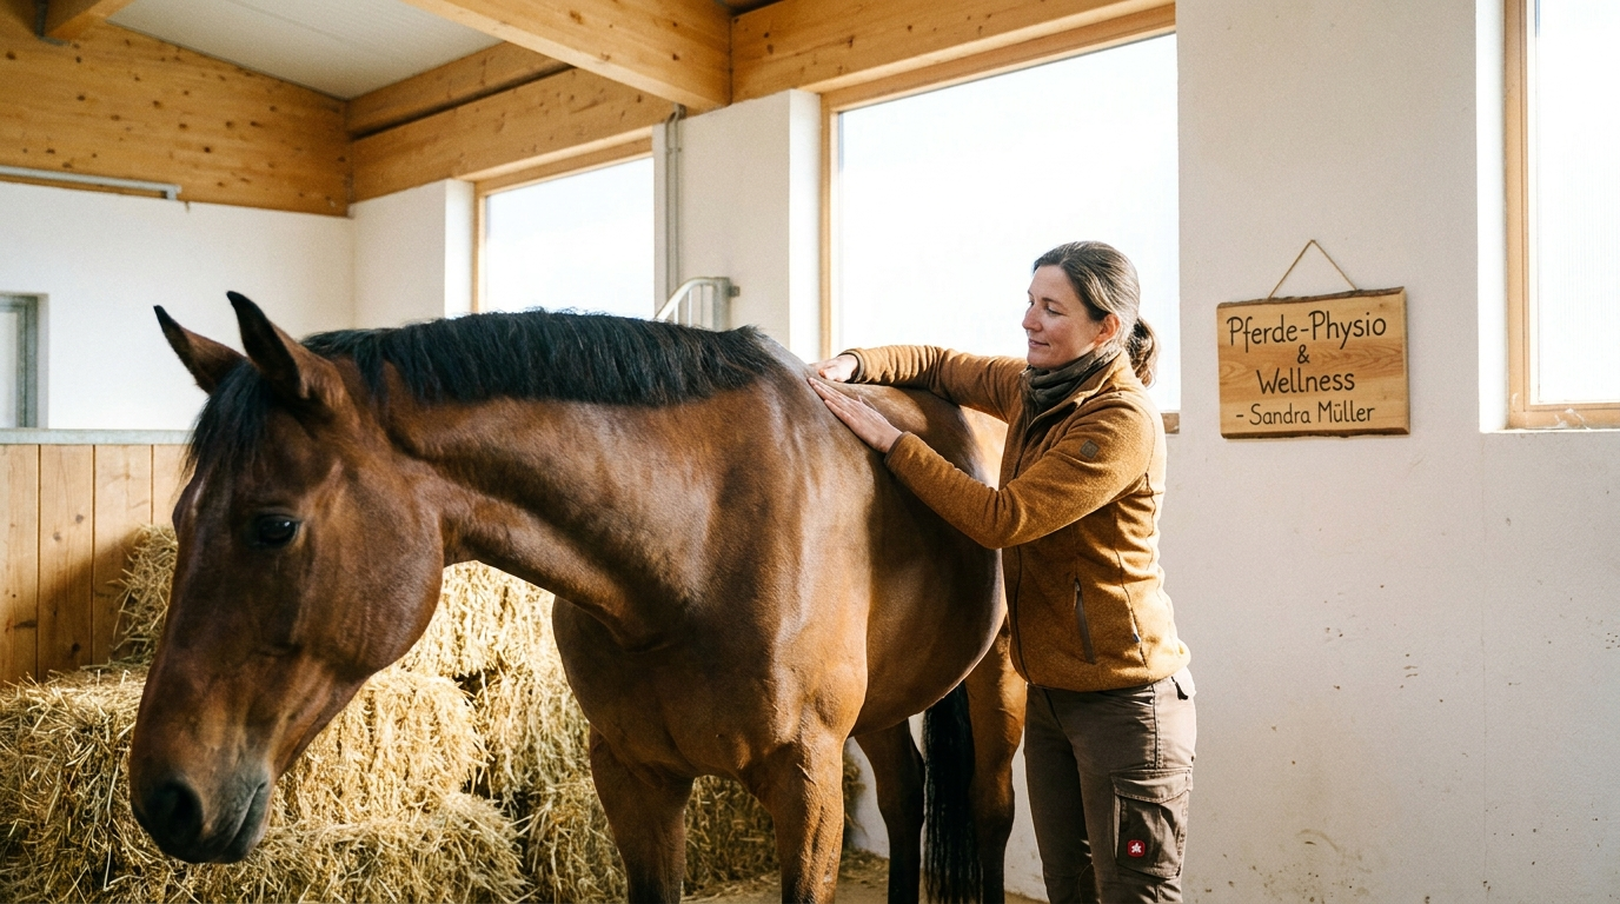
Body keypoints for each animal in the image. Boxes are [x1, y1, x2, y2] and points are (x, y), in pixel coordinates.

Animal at [128, 293, 1026, 903]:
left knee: (988, 811)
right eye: (181, 517)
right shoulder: (632, 775)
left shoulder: (806, 782)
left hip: (996, 687)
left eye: (273, 526)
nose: (165, 799)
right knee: (907, 797)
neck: (696, 542)